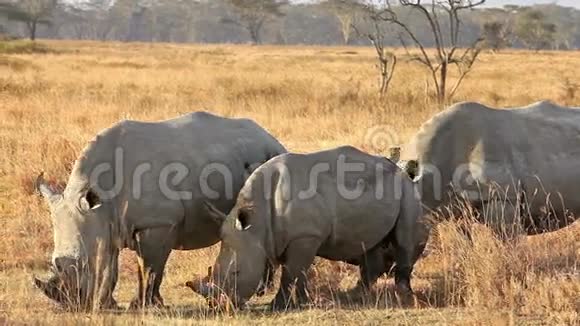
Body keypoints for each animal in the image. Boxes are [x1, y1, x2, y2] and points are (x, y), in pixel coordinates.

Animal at [34, 111, 286, 310]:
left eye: (83, 264)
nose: (71, 305)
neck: (101, 200)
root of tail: (269, 135)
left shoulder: (158, 223)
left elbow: (151, 267)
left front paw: (145, 305)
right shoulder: (108, 223)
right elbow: (115, 267)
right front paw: (112, 304)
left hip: (269, 154)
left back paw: (262, 290)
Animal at [186, 146, 426, 310]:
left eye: (236, 273)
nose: (218, 305)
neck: (256, 223)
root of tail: (401, 170)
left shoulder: (305, 236)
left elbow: (290, 273)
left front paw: (277, 306)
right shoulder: (282, 238)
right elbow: (298, 273)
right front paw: (302, 301)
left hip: (406, 191)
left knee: (404, 240)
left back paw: (405, 297)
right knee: (370, 245)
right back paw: (355, 295)